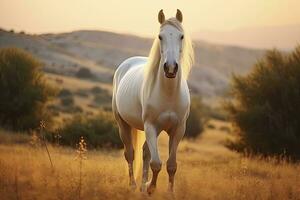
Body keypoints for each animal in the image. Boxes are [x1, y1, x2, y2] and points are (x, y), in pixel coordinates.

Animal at [112, 9, 195, 194]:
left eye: (181, 36)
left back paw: (142, 187)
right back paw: (134, 186)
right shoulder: (151, 126)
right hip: (123, 124)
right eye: (160, 36)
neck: (169, 94)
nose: (170, 68)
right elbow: (156, 163)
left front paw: (169, 193)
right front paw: (151, 188)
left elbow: (171, 165)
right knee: (130, 153)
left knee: (145, 153)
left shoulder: (178, 129)